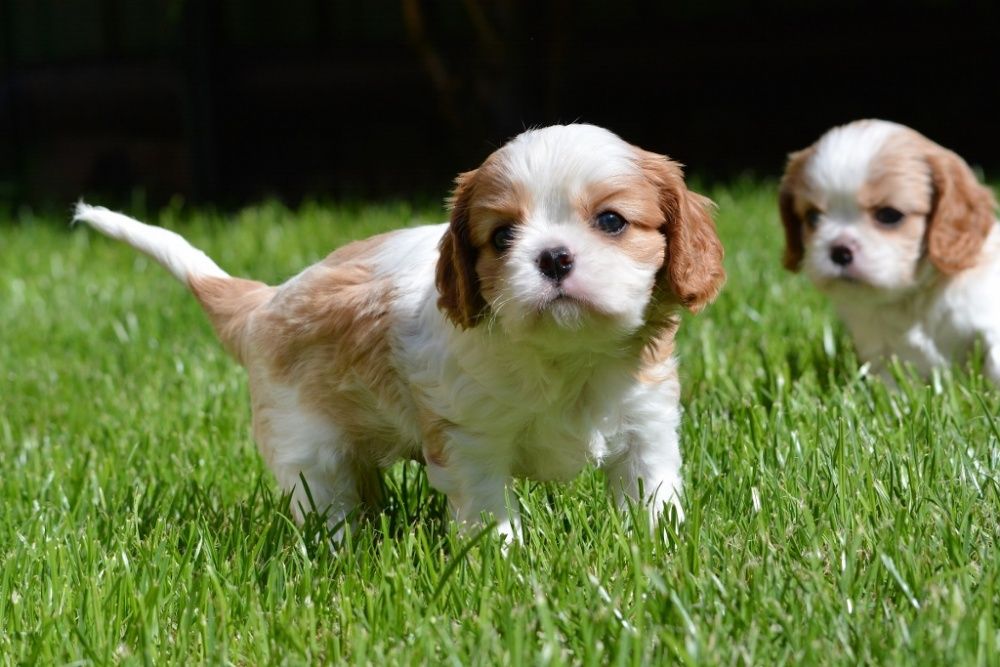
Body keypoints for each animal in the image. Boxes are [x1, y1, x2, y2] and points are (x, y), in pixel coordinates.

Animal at [74, 124, 724, 544]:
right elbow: (488, 511)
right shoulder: (470, 441)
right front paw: (505, 565)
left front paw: (660, 552)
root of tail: (264, 303)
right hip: (308, 448)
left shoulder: (646, 426)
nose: (554, 257)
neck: (565, 357)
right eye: (502, 237)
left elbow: (652, 496)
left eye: (611, 221)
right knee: (327, 506)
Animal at [780, 117, 1000, 384]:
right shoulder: (881, 354)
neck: (909, 298)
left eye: (889, 215)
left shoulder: (989, 322)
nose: (839, 251)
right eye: (812, 217)